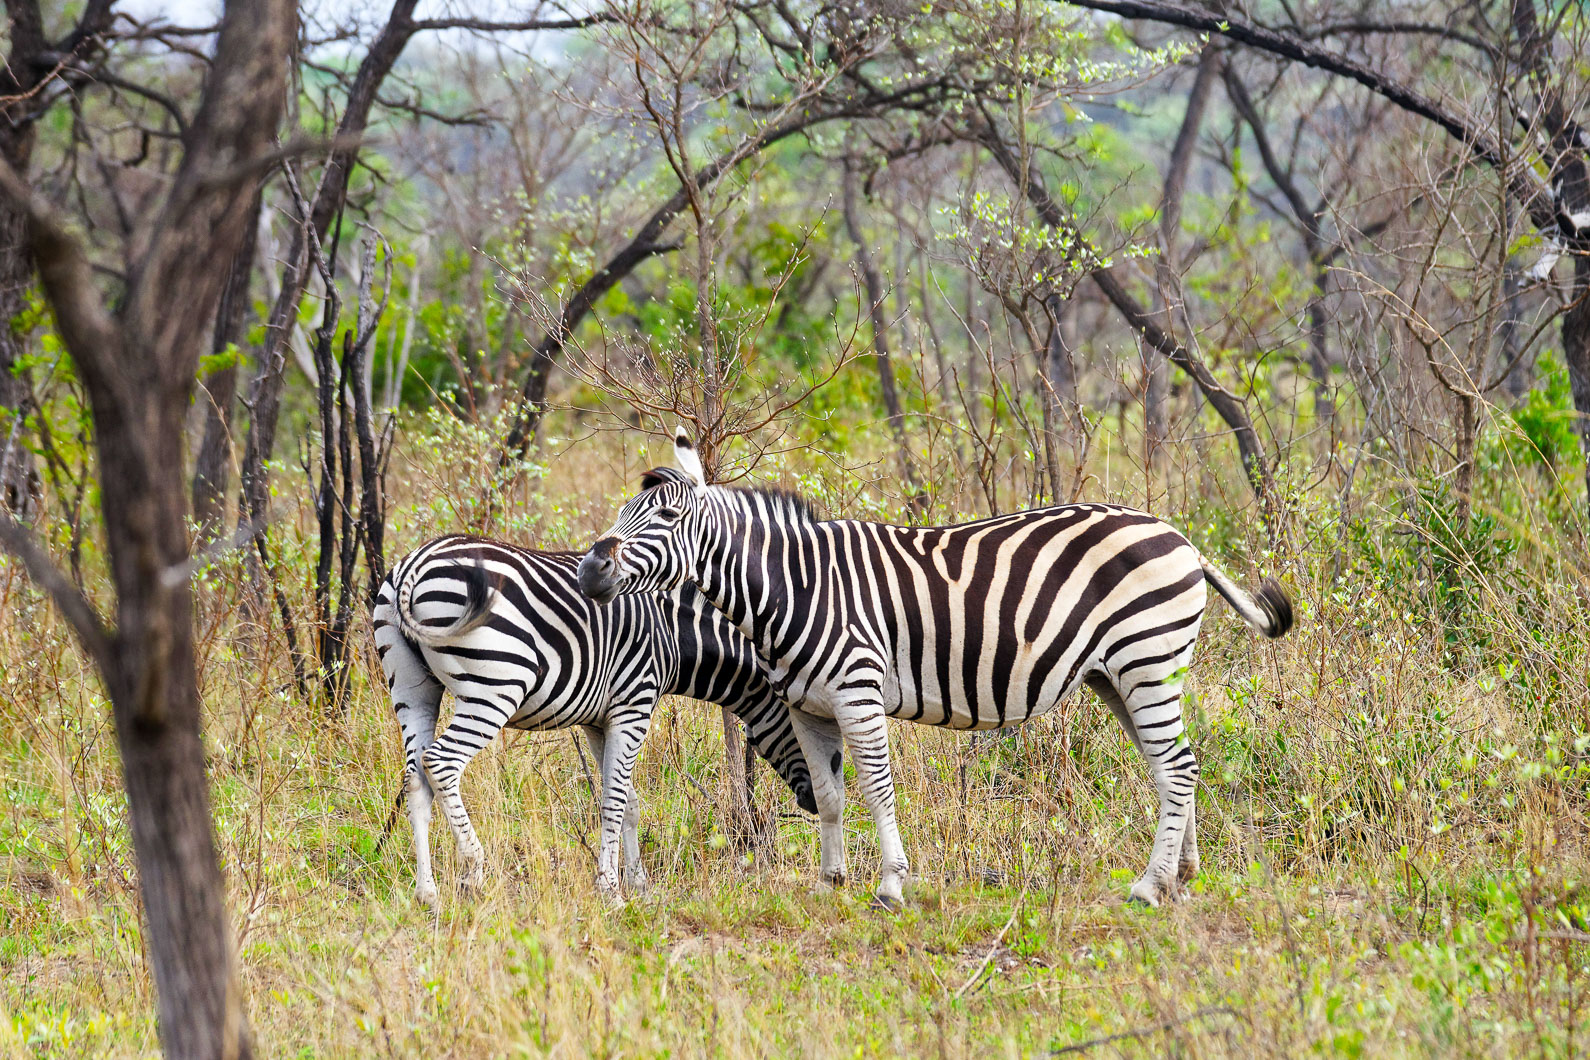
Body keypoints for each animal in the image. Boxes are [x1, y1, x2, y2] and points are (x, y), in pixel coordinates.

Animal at [372, 533, 816, 908]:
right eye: (812, 726)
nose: (815, 804)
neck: (672, 635)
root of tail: (413, 564)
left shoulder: (598, 720)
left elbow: (630, 802)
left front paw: (639, 886)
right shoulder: (633, 705)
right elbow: (614, 801)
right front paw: (612, 892)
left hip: (412, 689)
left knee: (415, 780)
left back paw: (427, 893)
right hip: (494, 688)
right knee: (441, 762)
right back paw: (473, 872)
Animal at [576, 432, 1293, 908]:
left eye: (667, 516)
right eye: (622, 512)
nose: (590, 569)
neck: (796, 587)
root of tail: (1181, 538)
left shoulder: (858, 693)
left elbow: (877, 789)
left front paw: (891, 884)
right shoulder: (809, 706)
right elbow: (831, 795)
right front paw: (830, 882)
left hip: (1146, 657)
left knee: (1177, 764)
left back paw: (1148, 885)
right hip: (1118, 674)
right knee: (1171, 764)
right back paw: (1181, 874)